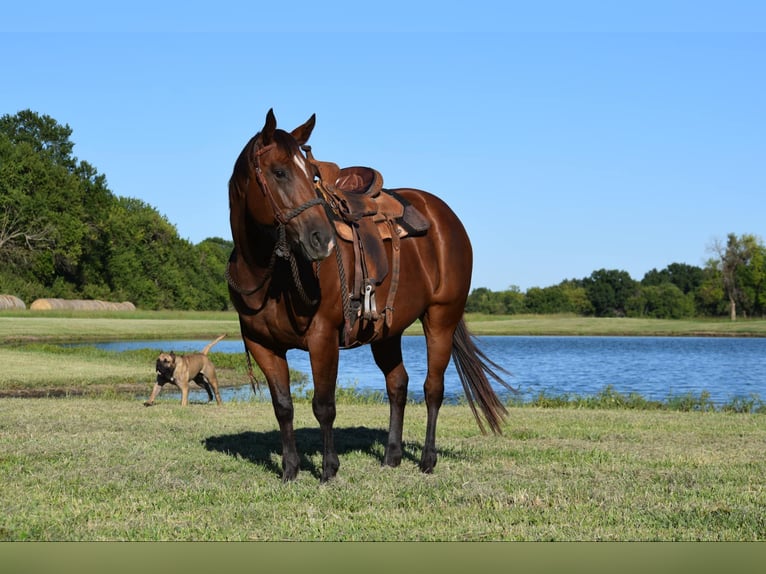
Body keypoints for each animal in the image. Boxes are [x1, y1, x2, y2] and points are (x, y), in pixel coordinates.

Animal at [227, 109, 513, 482]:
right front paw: (289, 470)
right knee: (398, 385)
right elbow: (283, 406)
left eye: (312, 174)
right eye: (279, 172)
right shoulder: (262, 344)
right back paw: (392, 456)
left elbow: (324, 405)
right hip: (387, 331)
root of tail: (445, 216)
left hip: (441, 318)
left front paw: (328, 469)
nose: (322, 240)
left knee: (432, 389)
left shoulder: (322, 337)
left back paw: (427, 460)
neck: (270, 276)